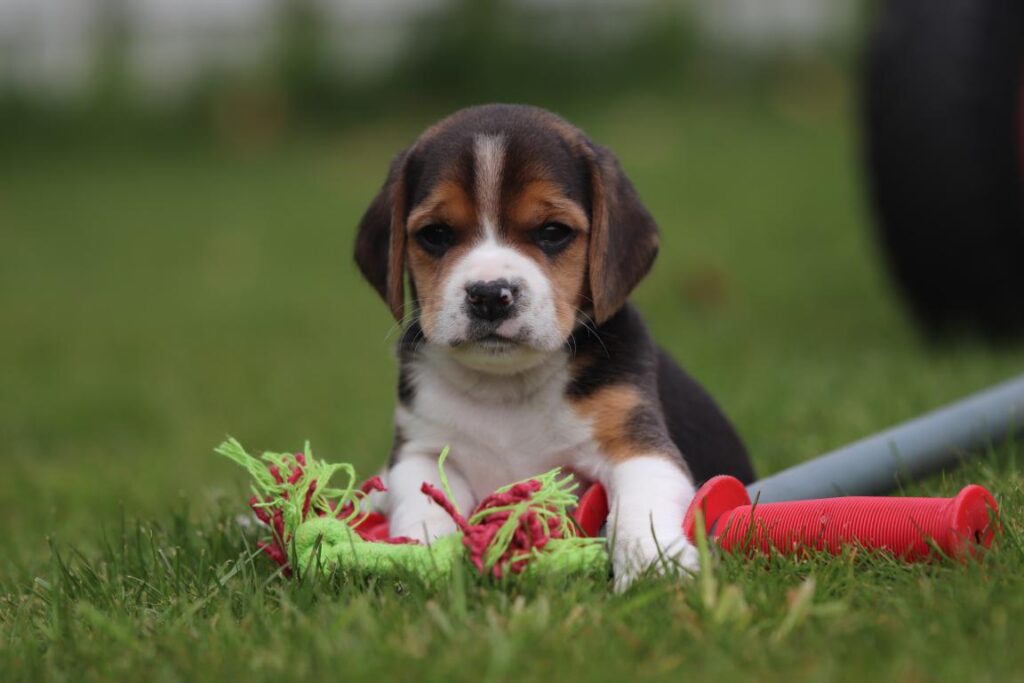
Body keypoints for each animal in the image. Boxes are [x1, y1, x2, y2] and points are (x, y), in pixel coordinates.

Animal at [356, 104, 757, 589]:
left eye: (553, 231)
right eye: (435, 234)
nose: (489, 295)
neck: (505, 385)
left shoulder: (637, 444)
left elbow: (639, 505)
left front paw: (651, 569)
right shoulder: (421, 446)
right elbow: (423, 499)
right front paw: (423, 559)